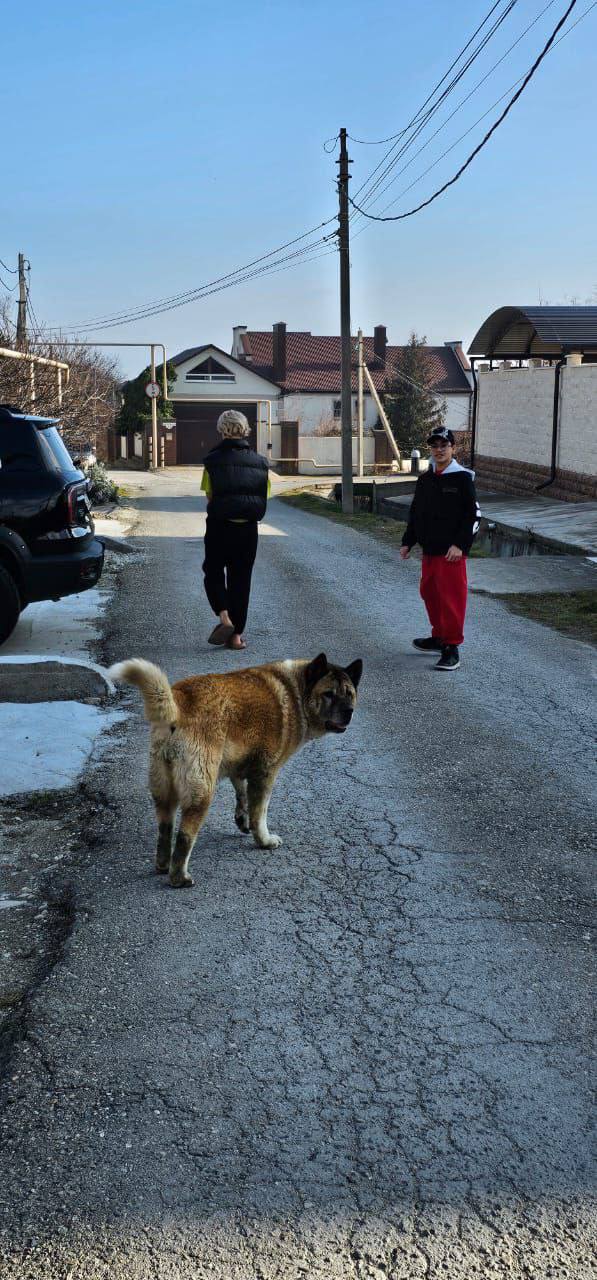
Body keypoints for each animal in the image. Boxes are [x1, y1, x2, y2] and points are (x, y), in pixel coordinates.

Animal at [107, 655, 361, 885]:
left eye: (349, 694)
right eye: (328, 694)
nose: (349, 711)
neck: (297, 691)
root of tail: (178, 702)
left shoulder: (238, 767)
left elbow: (242, 794)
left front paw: (242, 819)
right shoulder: (265, 774)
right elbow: (260, 813)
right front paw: (264, 840)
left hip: (163, 787)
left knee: (165, 827)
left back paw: (162, 864)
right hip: (201, 791)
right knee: (185, 836)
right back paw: (179, 877)